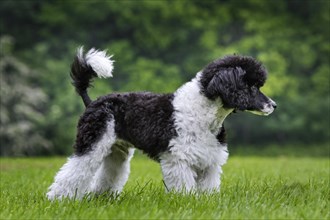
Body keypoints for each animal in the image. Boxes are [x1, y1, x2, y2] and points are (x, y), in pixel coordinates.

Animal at [47, 47, 276, 200]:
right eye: (252, 87)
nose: (273, 105)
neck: (203, 112)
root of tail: (92, 102)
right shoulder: (178, 160)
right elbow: (184, 188)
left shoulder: (209, 162)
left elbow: (208, 188)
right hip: (92, 143)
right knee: (74, 171)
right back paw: (58, 198)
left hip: (116, 151)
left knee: (108, 175)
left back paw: (101, 198)